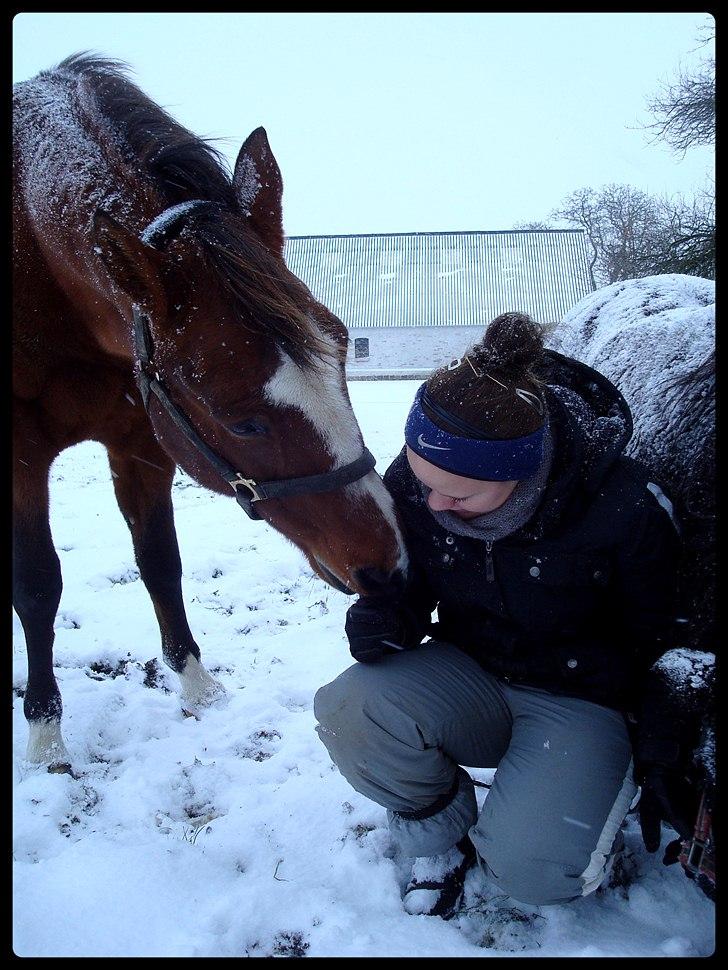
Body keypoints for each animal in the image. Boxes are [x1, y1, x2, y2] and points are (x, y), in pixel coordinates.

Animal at [12, 54, 410, 764]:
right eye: (241, 419)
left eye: (342, 351)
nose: (389, 566)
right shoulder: (20, 454)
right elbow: (36, 584)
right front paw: (44, 734)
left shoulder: (144, 440)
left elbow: (159, 560)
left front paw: (196, 684)